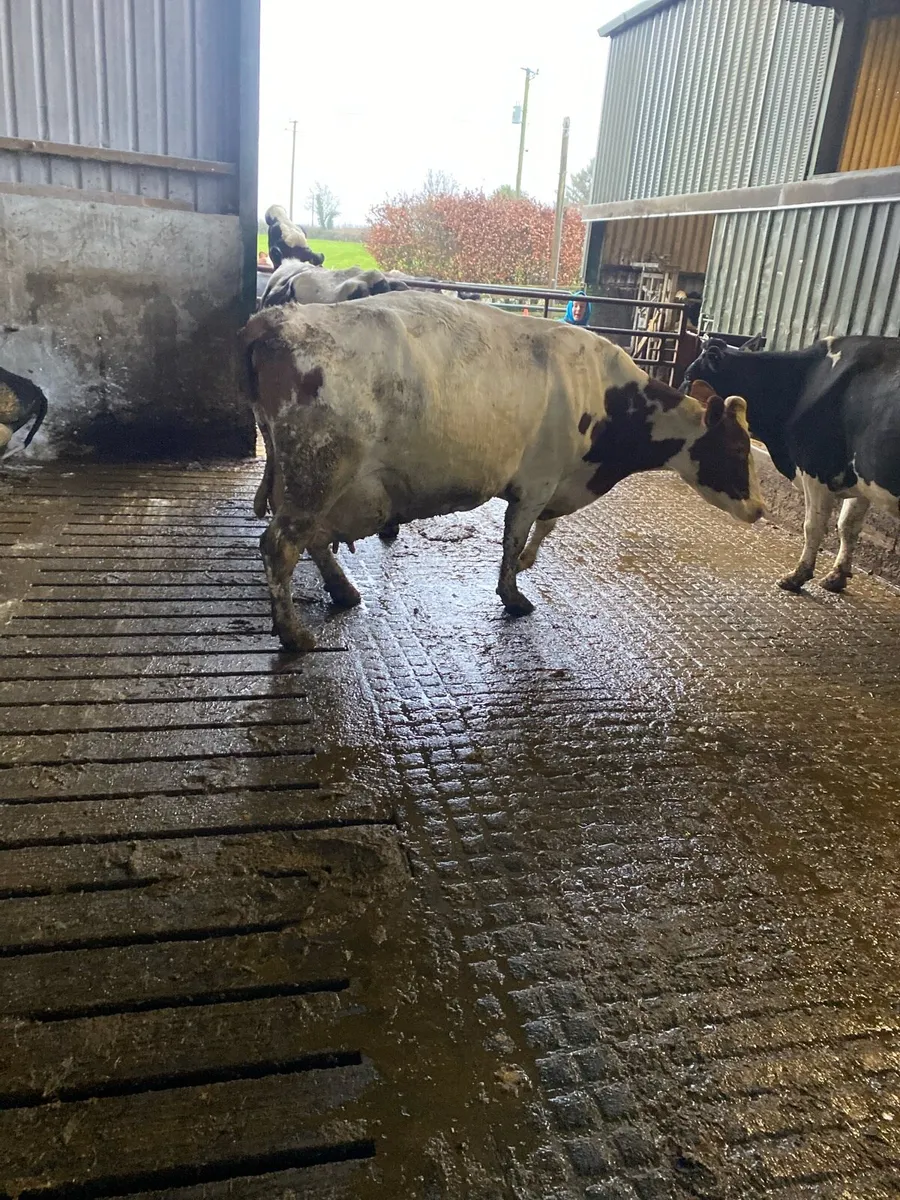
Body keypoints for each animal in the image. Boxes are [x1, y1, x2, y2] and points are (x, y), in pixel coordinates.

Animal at [241, 290, 764, 652]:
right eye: (736, 449)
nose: (759, 509)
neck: (606, 397)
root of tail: (275, 320)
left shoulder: (555, 483)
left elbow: (542, 531)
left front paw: (528, 565)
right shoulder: (535, 483)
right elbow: (514, 540)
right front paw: (513, 595)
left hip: (315, 483)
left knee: (311, 539)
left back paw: (344, 590)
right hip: (317, 474)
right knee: (281, 545)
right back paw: (294, 634)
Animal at [682, 334, 900, 593]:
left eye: (688, 377)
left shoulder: (815, 468)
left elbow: (813, 526)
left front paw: (798, 576)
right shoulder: (860, 477)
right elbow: (848, 526)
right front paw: (836, 577)